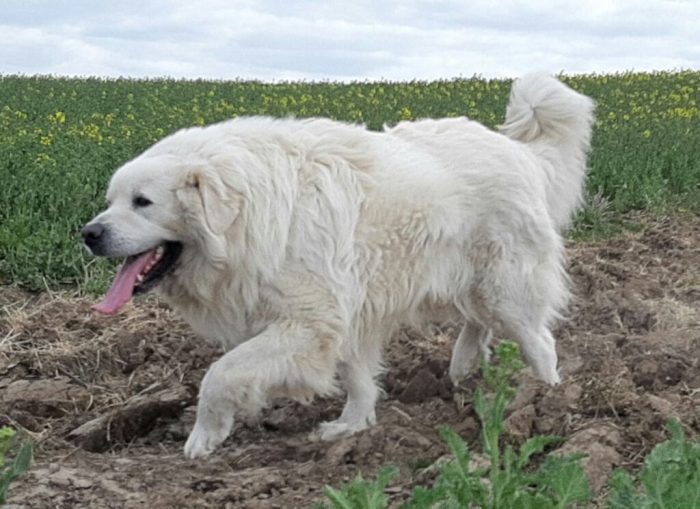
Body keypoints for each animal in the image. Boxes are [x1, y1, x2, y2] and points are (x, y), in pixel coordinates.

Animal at [83, 73, 596, 458]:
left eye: (142, 202)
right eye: (111, 201)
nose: (89, 234)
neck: (248, 213)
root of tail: (522, 153)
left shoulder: (310, 322)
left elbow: (220, 373)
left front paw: (203, 436)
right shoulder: (344, 315)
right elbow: (358, 378)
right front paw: (353, 426)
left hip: (508, 287)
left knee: (540, 342)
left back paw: (546, 398)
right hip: (473, 283)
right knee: (479, 323)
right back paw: (463, 368)